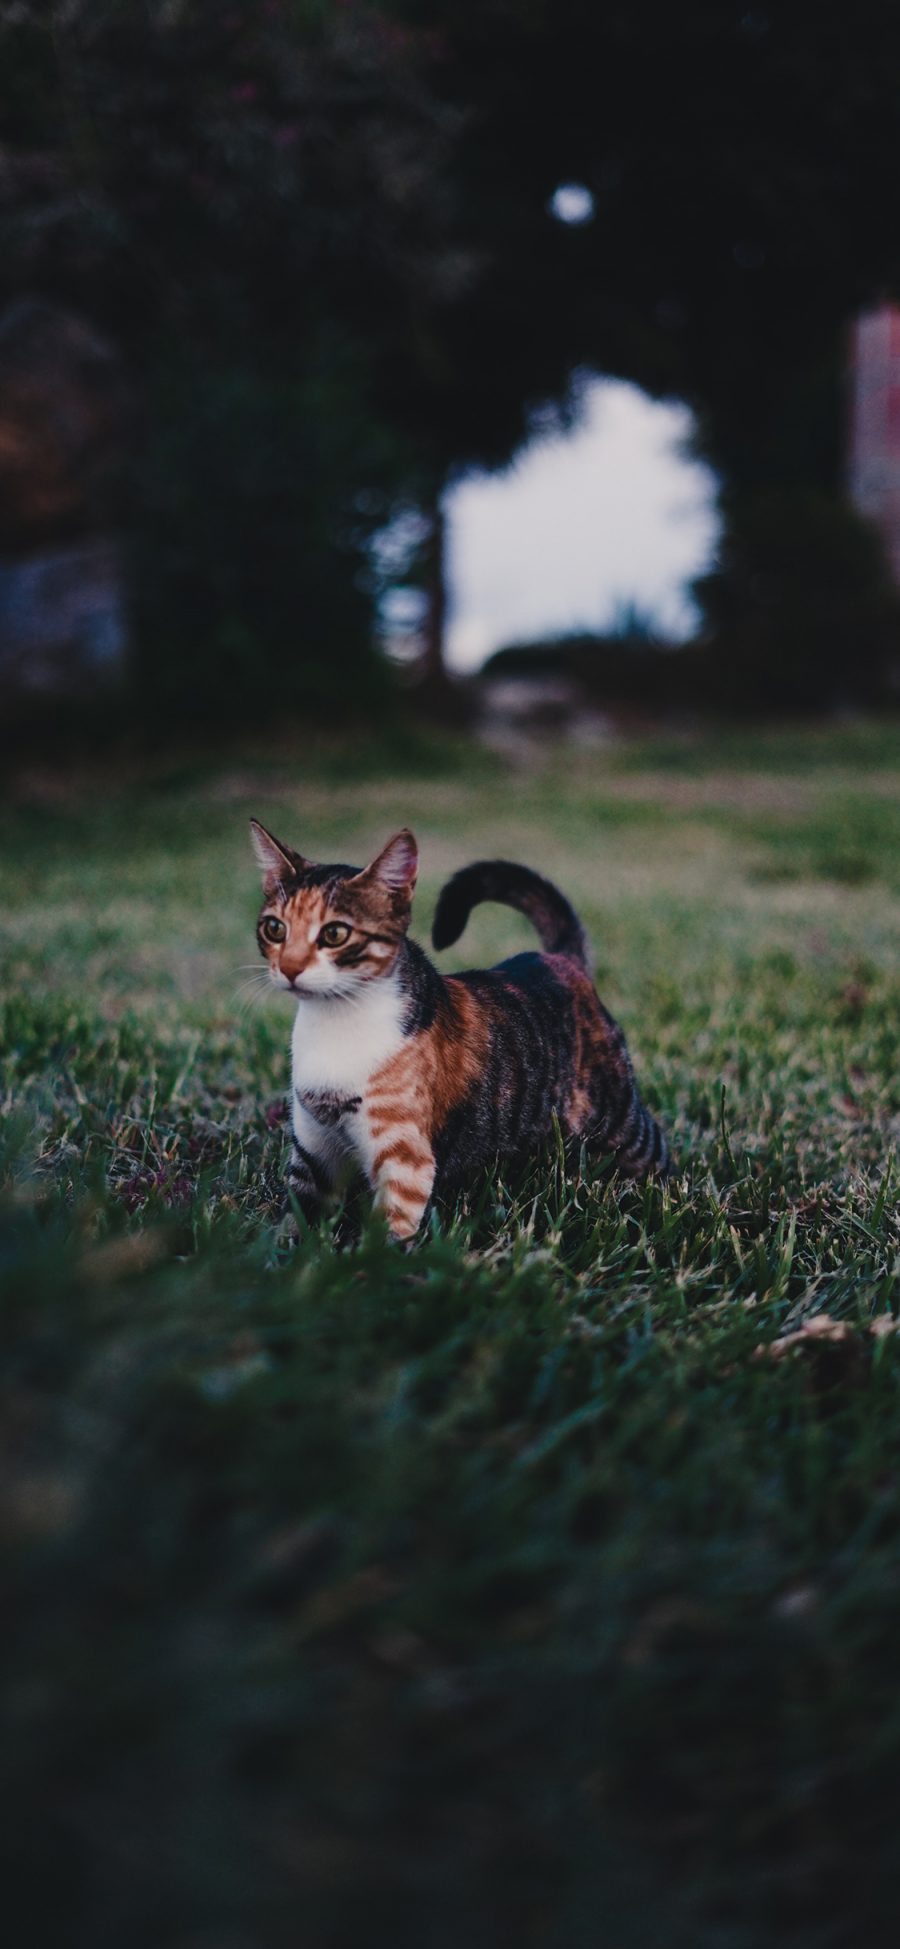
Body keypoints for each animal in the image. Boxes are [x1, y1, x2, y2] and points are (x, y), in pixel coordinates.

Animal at [247, 814, 666, 1239]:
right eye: (274, 929)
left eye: (334, 934)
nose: (290, 968)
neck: (335, 1024)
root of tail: (559, 961)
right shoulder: (313, 1152)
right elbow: (296, 1220)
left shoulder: (404, 1160)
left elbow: (385, 1237)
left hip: (618, 1120)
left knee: (653, 1147)